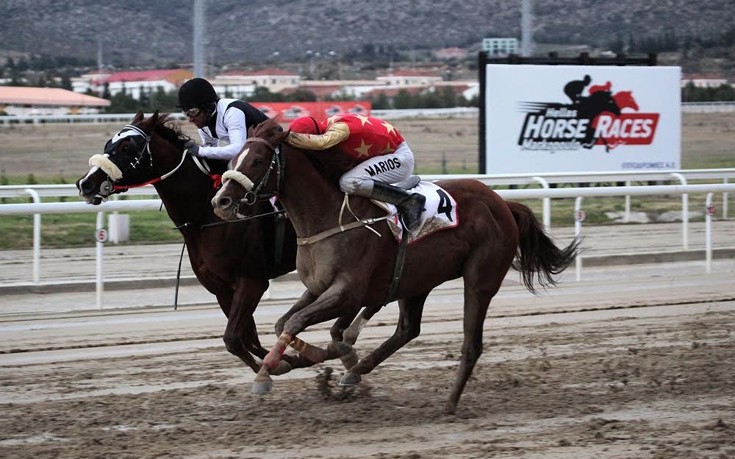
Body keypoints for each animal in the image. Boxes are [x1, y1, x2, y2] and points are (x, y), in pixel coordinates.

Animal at [76, 112, 304, 378]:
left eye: (126, 147)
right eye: (108, 144)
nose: (86, 184)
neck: (206, 217)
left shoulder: (252, 282)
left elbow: (234, 338)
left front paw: (287, 361)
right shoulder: (221, 289)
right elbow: (245, 340)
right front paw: (285, 361)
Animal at [211, 117, 580, 414]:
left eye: (257, 160)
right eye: (233, 158)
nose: (221, 201)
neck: (328, 218)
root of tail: (502, 203)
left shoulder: (348, 291)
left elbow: (296, 321)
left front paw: (267, 373)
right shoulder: (318, 288)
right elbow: (283, 323)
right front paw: (311, 357)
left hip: (480, 279)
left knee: (470, 343)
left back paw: (449, 403)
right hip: (416, 280)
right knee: (407, 329)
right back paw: (354, 372)